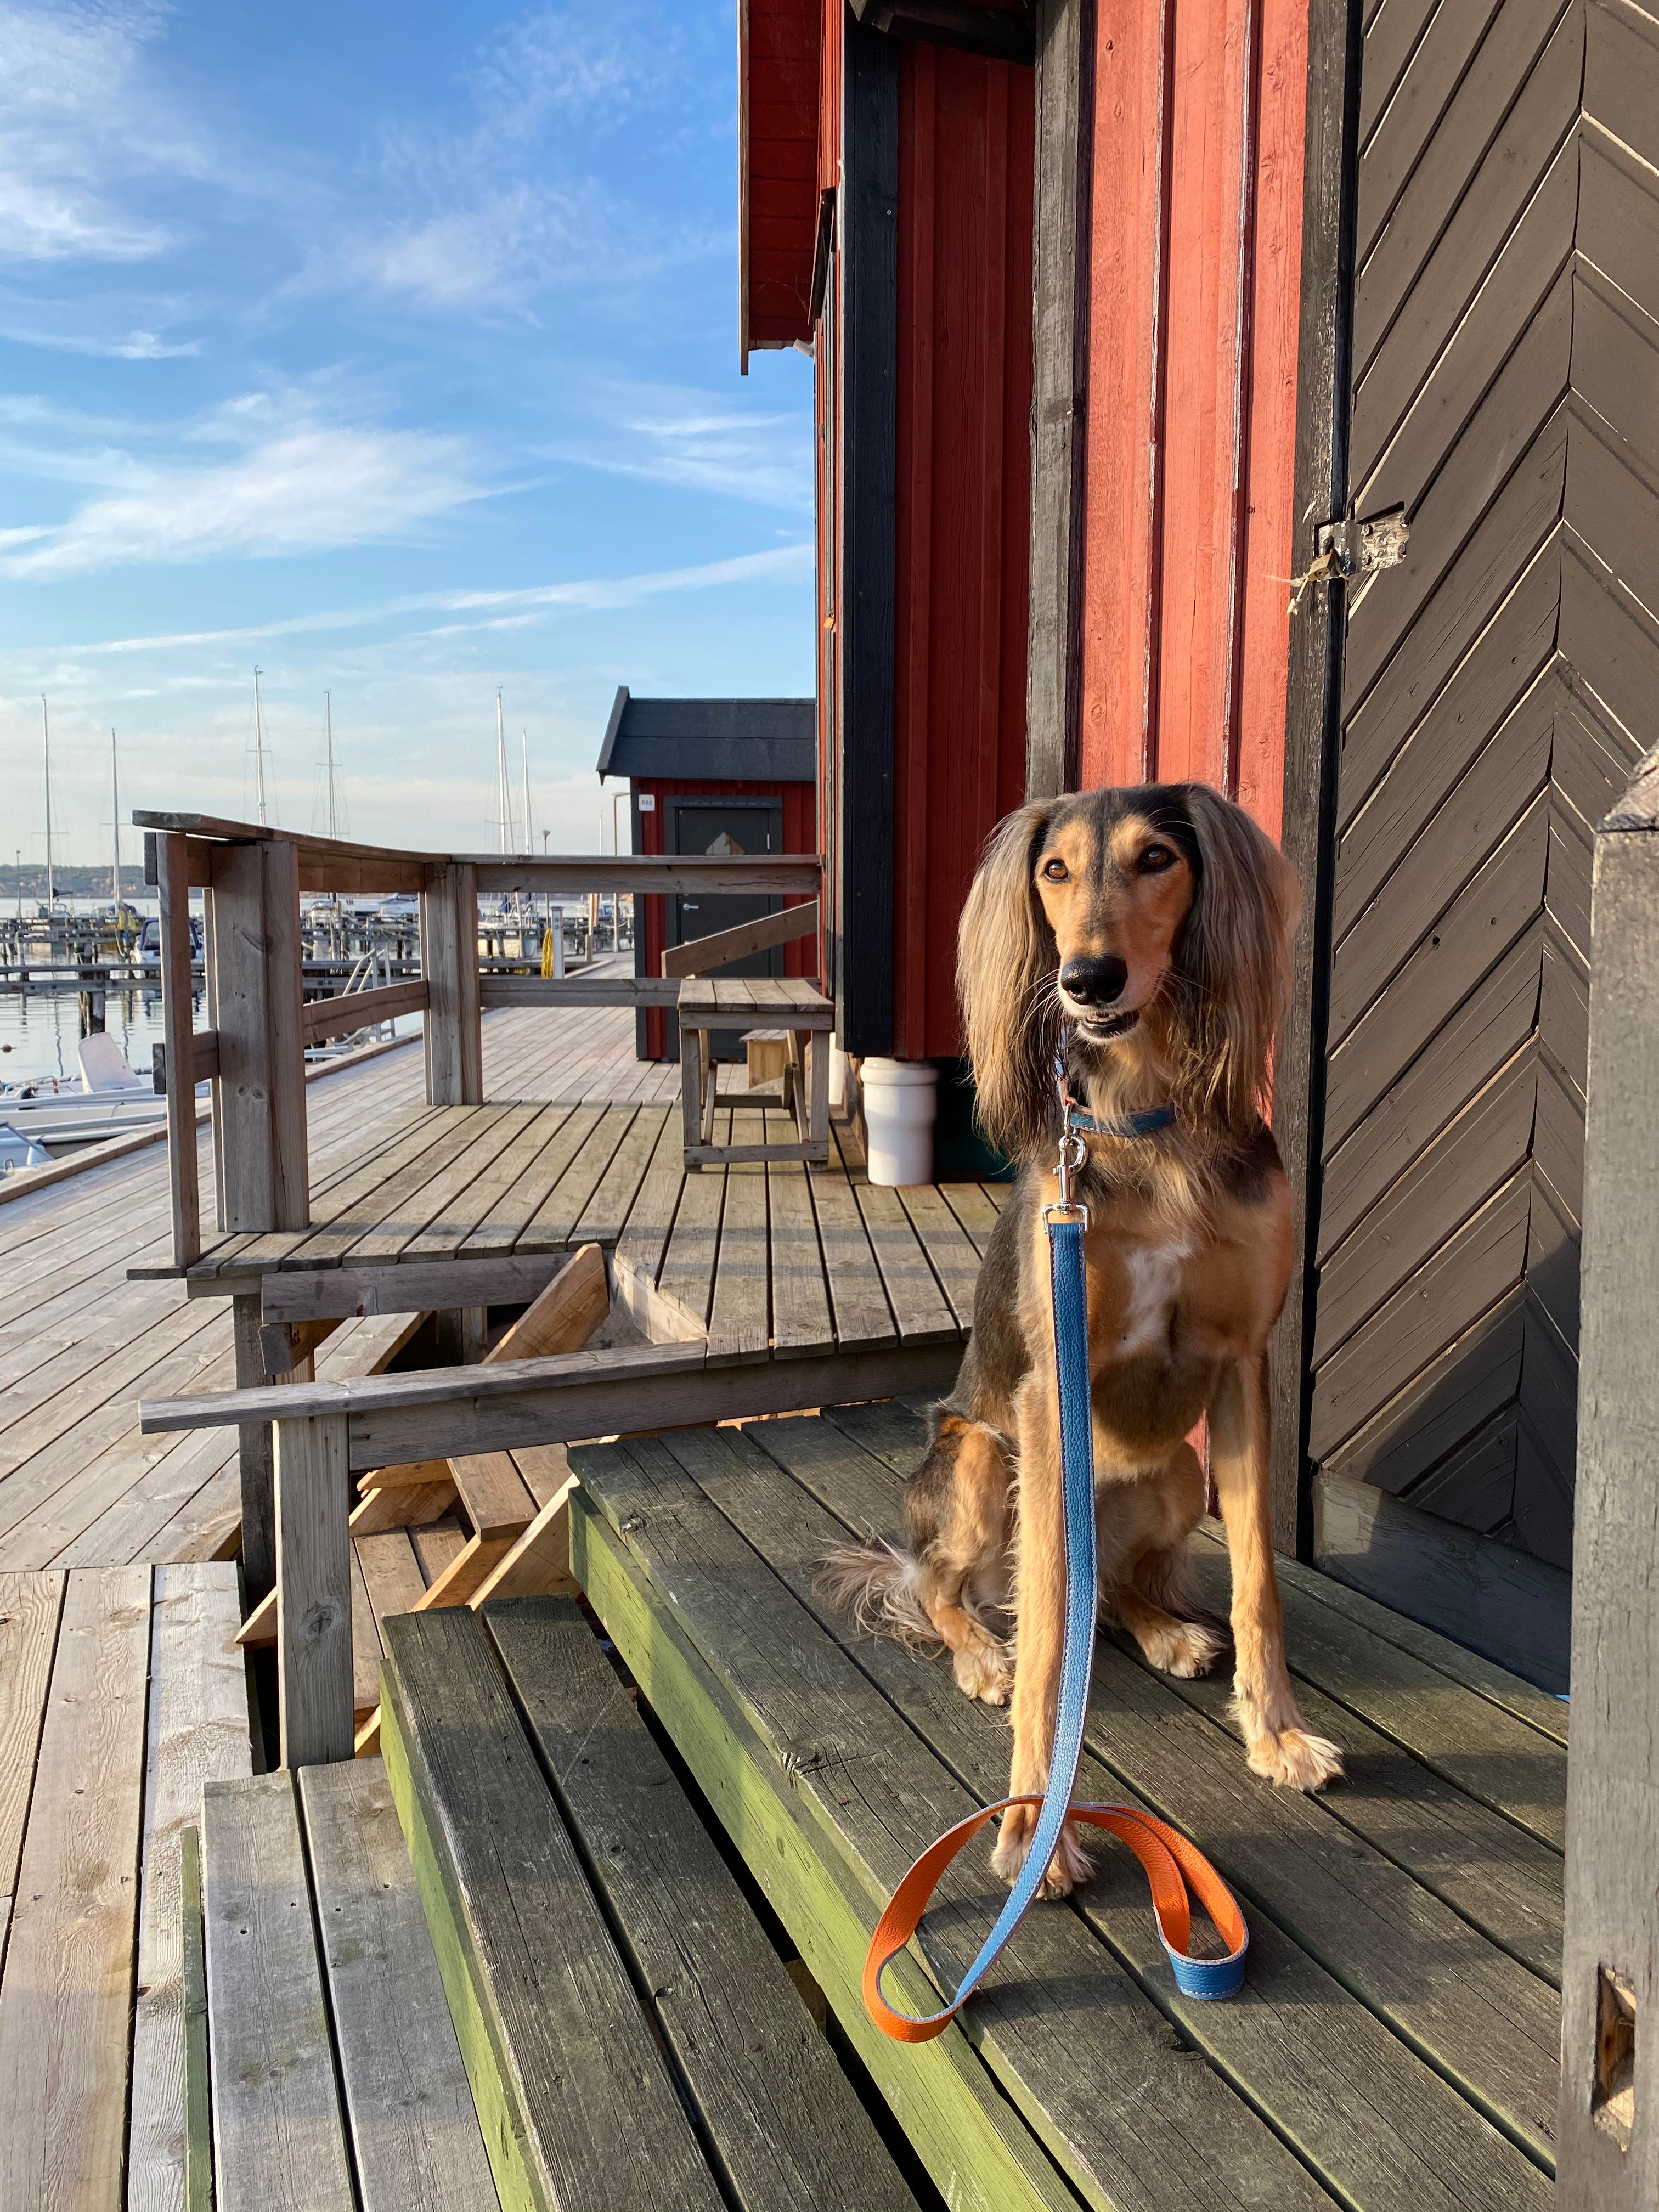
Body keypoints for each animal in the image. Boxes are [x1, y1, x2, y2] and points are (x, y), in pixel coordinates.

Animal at [827, 787, 1345, 1893]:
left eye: (1156, 859)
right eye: (1053, 870)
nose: (1087, 979)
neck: (1143, 1118)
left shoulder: (1242, 1363)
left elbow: (1257, 1583)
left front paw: (1276, 1734)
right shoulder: (1043, 1396)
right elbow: (1046, 1651)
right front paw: (1035, 1830)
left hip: (1174, 1475)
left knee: (1111, 1591)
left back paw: (1164, 1631)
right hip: (984, 1462)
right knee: (942, 1585)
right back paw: (977, 1651)